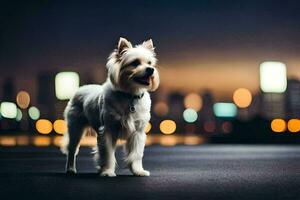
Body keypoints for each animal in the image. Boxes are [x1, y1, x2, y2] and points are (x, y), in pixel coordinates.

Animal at [61, 37, 159, 177]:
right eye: (135, 63)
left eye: (150, 63)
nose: (151, 69)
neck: (130, 96)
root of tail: (80, 89)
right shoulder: (107, 131)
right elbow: (107, 154)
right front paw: (107, 171)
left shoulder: (138, 133)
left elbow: (136, 155)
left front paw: (138, 171)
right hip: (75, 128)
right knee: (72, 150)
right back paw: (70, 169)